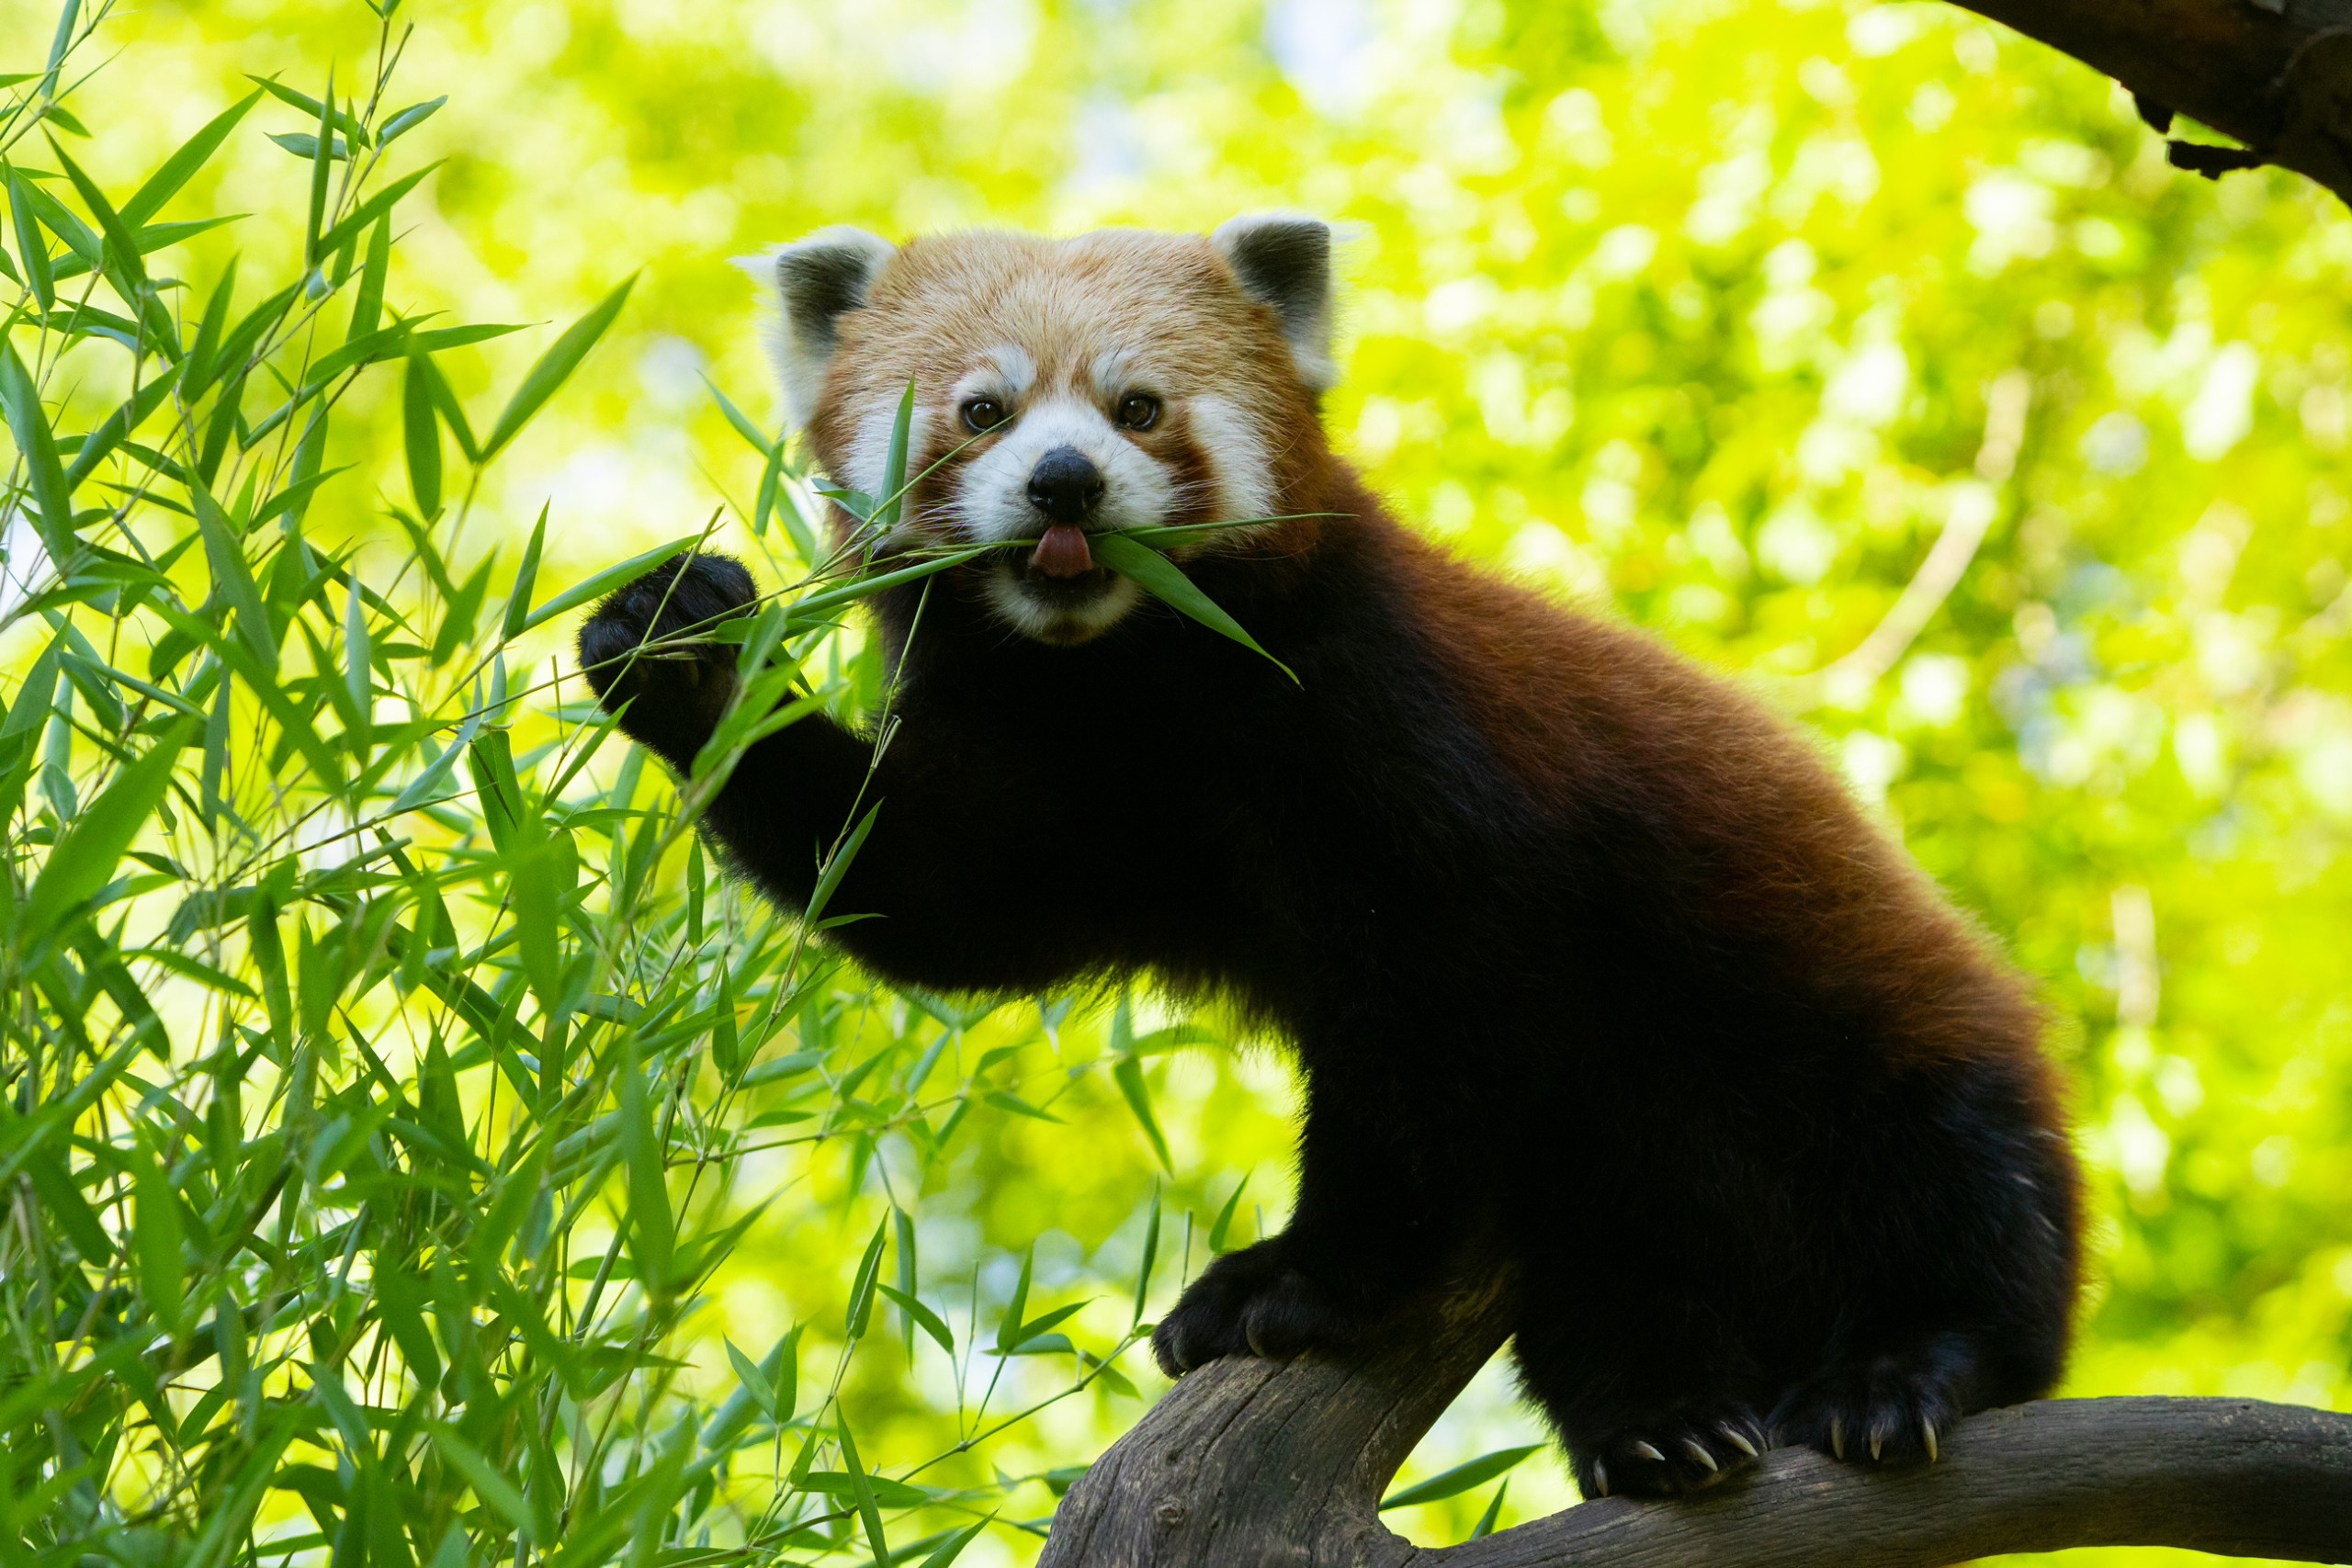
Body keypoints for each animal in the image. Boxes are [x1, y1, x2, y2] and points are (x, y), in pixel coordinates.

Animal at [582, 211, 2079, 1495]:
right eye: (982, 410)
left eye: (1138, 408)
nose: (1065, 479)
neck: (1120, 683)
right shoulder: (1047, 793)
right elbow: (940, 904)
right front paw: (679, 646)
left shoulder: (1392, 736)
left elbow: (1418, 1045)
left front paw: (1291, 1282)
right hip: (1620, 1186)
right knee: (1614, 1282)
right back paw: (1661, 1423)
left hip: (1847, 1030)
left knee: (1960, 1201)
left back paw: (1900, 1372)